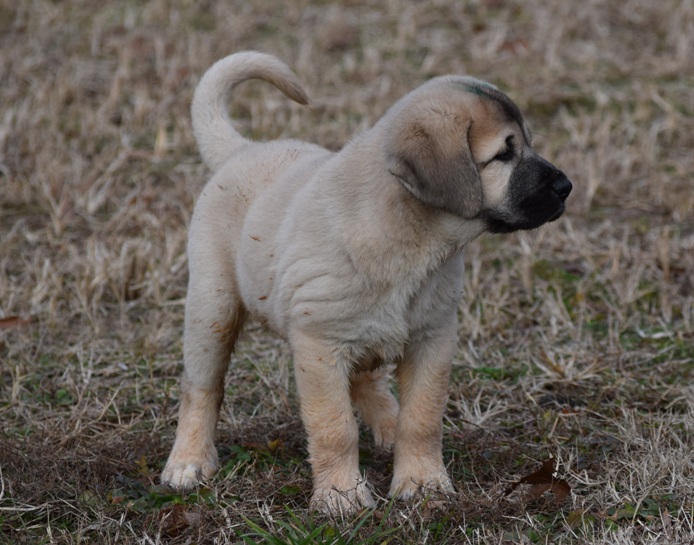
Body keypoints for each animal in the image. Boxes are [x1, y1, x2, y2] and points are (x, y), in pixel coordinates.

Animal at [161, 51, 572, 515]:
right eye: (505, 153)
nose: (566, 186)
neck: (411, 238)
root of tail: (244, 149)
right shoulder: (320, 347)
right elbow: (335, 427)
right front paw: (341, 495)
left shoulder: (432, 339)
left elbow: (422, 418)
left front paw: (422, 481)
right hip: (212, 309)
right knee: (201, 389)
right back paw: (189, 462)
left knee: (367, 382)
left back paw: (388, 424)